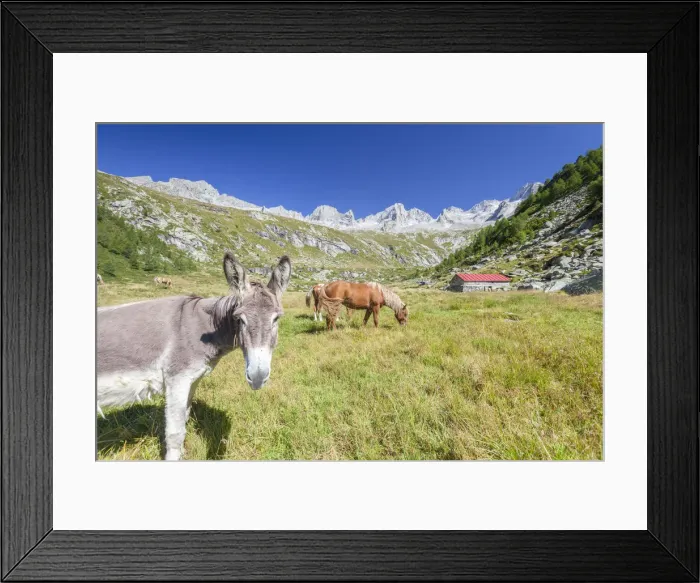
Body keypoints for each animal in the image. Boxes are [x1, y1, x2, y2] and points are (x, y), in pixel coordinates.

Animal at [98, 253, 291, 460]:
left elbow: (184, 419)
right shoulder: (176, 379)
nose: (257, 377)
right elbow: (175, 433)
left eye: (277, 318)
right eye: (239, 319)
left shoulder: (192, 380)